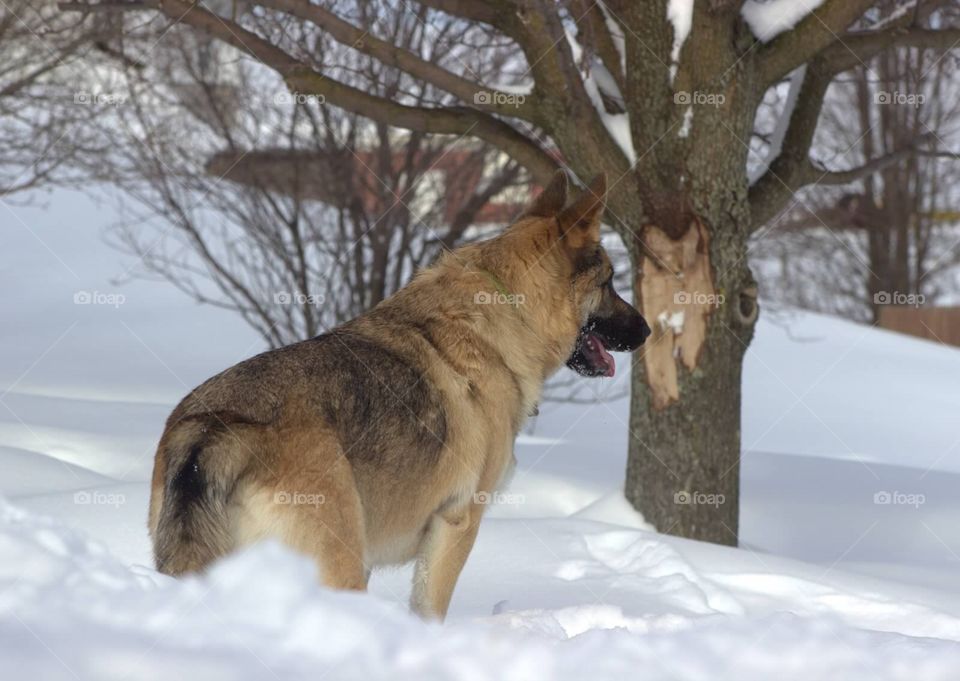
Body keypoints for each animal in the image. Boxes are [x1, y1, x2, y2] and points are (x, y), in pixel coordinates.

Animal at [146, 169, 648, 616]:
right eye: (610, 281)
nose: (646, 331)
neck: (507, 313)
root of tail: (213, 428)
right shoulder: (456, 526)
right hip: (340, 568)